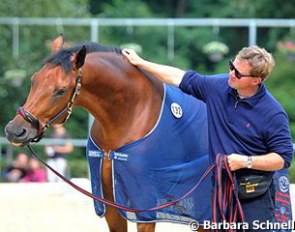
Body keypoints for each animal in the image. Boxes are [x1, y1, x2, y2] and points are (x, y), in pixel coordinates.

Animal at [5, 35, 213, 232]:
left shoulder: (143, 207)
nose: (15, 130)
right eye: (34, 80)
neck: (133, 113)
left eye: (61, 91)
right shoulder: (110, 203)